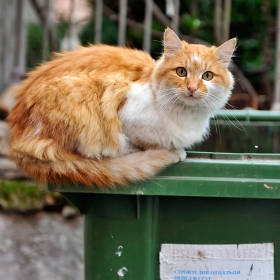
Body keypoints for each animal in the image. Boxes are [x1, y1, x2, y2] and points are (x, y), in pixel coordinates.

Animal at [7, 27, 236, 188]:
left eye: (207, 76)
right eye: (181, 72)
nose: (192, 88)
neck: (185, 116)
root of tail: (16, 140)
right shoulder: (125, 115)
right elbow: (139, 141)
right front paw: (169, 151)